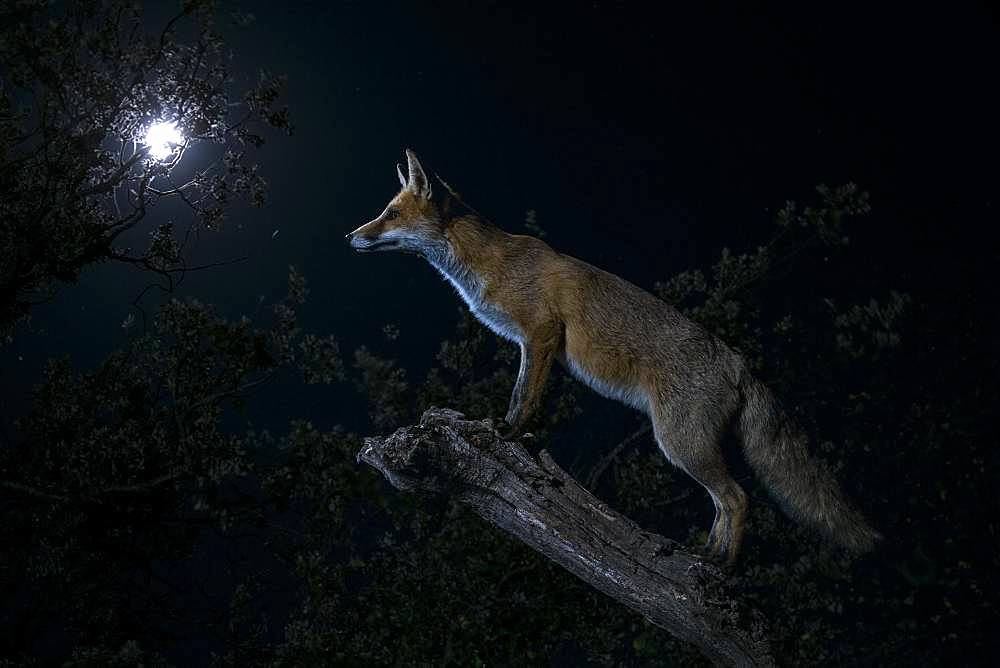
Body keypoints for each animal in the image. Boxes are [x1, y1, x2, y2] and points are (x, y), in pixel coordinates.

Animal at [348, 149, 880, 560]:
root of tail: (739, 363)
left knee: (738, 497)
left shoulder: (540, 335)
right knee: (726, 502)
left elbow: (523, 398)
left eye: (390, 214)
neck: (490, 265)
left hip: (679, 443)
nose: (350, 236)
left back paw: (723, 566)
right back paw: (707, 556)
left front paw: (507, 432)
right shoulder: (534, 343)